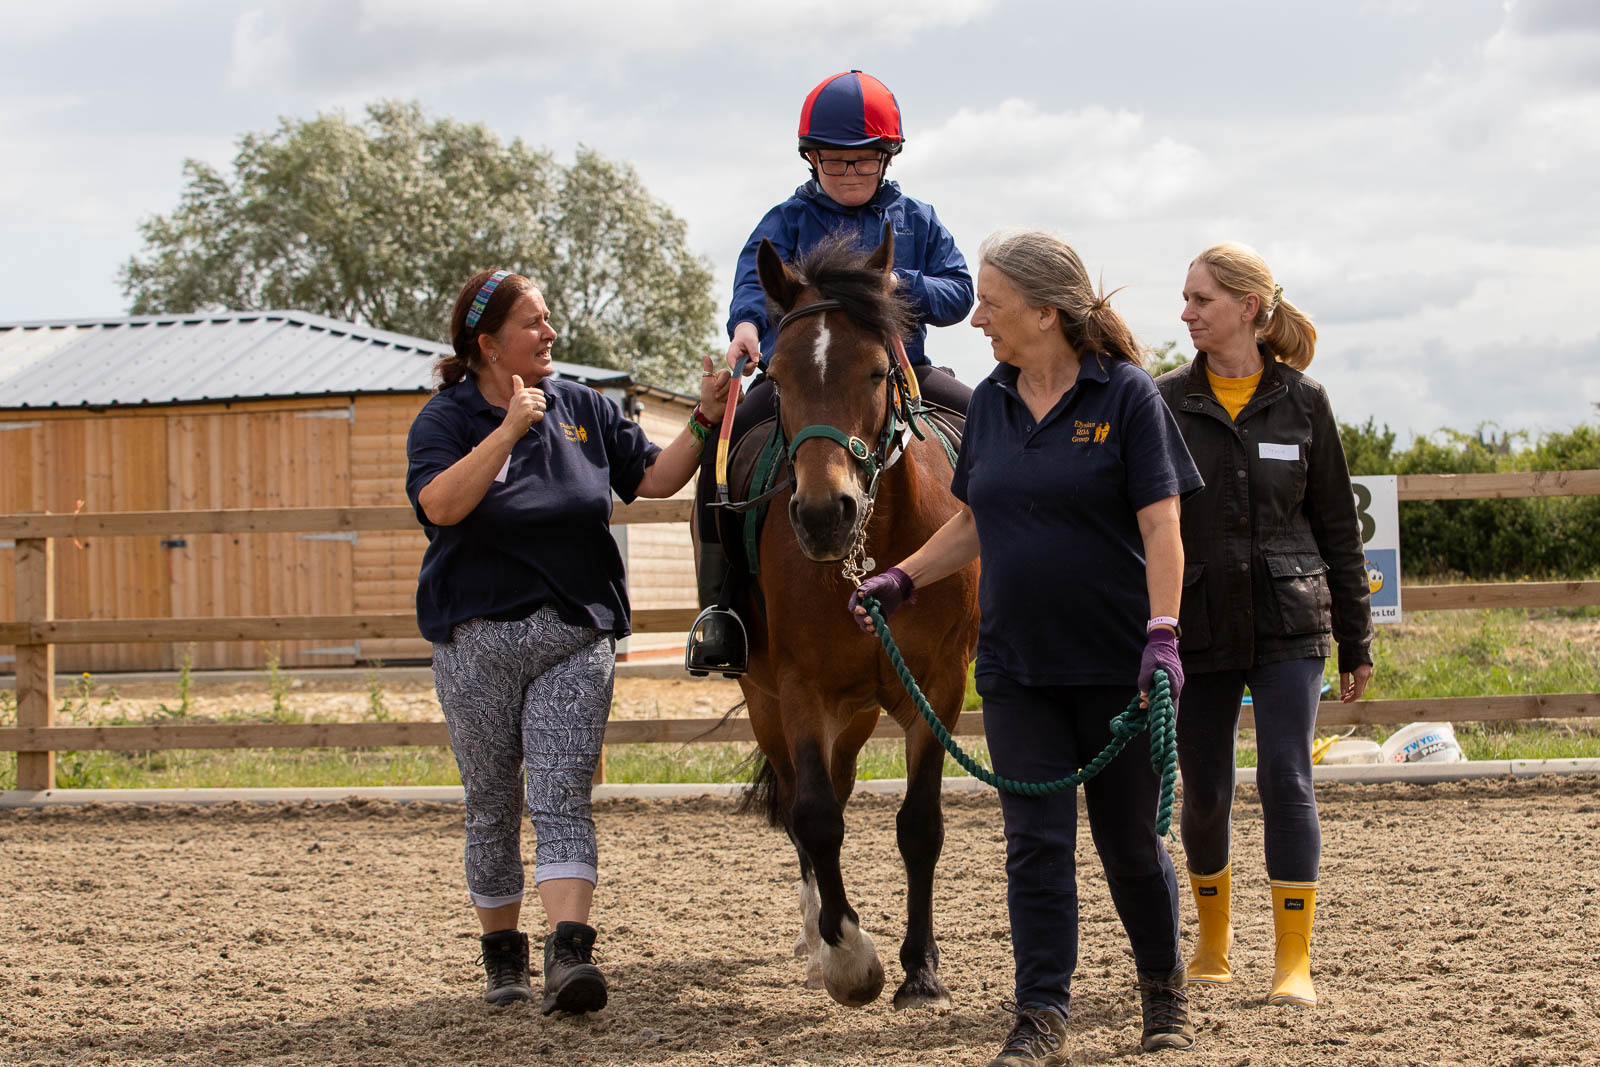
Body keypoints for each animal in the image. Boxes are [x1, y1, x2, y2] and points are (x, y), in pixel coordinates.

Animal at [723, 229, 980, 1010]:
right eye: (776, 374)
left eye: (873, 371)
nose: (820, 514)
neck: (877, 539)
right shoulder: (800, 689)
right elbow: (813, 817)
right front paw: (850, 960)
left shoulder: (936, 687)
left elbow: (919, 825)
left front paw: (921, 969)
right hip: (770, 703)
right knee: (803, 807)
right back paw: (818, 938)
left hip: (860, 710)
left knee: (835, 787)